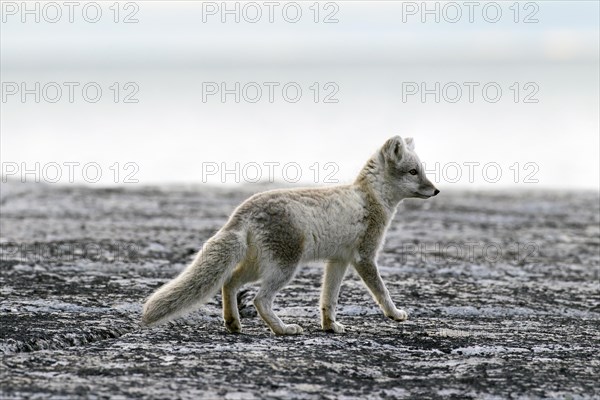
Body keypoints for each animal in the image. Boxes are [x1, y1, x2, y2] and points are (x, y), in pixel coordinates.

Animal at [143, 137, 438, 334]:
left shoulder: (339, 261)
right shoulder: (364, 258)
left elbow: (329, 298)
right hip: (284, 268)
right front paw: (395, 314)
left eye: (422, 171)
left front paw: (330, 326)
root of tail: (241, 211)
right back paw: (283, 329)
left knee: (229, 282)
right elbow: (382, 291)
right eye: (414, 172)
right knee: (259, 299)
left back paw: (233, 323)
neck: (370, 197)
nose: (436, 191)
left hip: (260, 266)